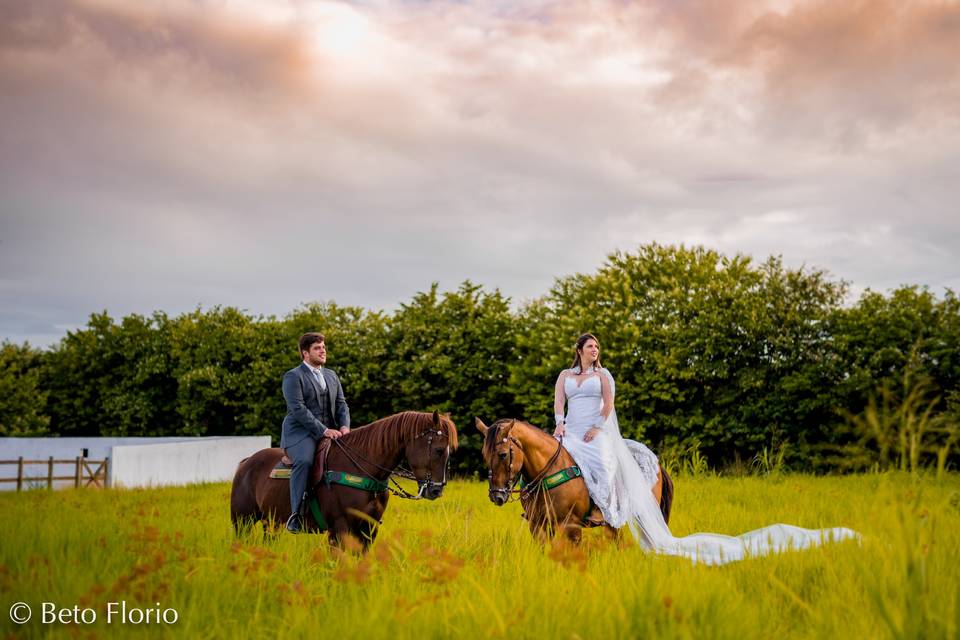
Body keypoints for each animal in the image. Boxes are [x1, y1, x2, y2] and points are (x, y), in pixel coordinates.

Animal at [232, 412, 458, 548]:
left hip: (270, 523)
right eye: (439, 450)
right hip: (242, 521)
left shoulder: (368, 529)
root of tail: (246, 462)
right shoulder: (340, 528)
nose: (436, 490)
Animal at [474, 420, 676, 544]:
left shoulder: (571, 526)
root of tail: (657, 463)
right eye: (484, 455)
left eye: (503, 454)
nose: (497, 496)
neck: (548, 471)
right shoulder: (538, 525)